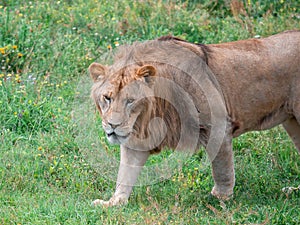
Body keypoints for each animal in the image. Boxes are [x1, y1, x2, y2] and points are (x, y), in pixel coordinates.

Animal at [89, 30, 300, 207]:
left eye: (130, 101)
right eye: (107, 98)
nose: (113, 125)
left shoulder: (218, 124)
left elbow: (222, 168)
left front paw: (221, 199)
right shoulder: (136, 140)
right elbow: (125, 174)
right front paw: (113, 203)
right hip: (292, 123)